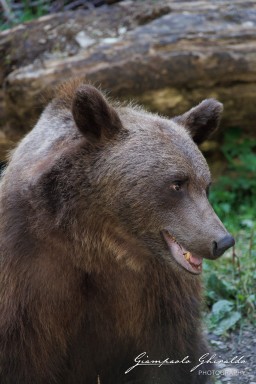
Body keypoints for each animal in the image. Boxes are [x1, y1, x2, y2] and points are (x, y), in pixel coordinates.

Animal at [0, 82, 233, 384]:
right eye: (176, 184)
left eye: (206, 185)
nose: (222, 241)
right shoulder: (30, 265)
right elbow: (23, 352)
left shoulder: (159, 289)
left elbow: (172, 353)